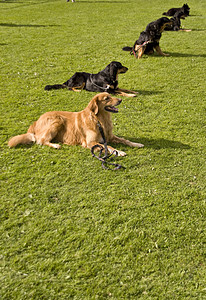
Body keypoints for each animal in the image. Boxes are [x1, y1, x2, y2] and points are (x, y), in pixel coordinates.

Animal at [7, 92, 143, 156]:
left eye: (110, 95)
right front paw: (119, 152)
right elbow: (108, 146)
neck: (99, 120)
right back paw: (55, 145)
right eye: (106, 98)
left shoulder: (109, 136)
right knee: (41, 140)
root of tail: (36, 121)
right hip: (57, 120)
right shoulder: (90, 143)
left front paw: (136, 144)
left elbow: (125, 140)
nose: (120, 100)